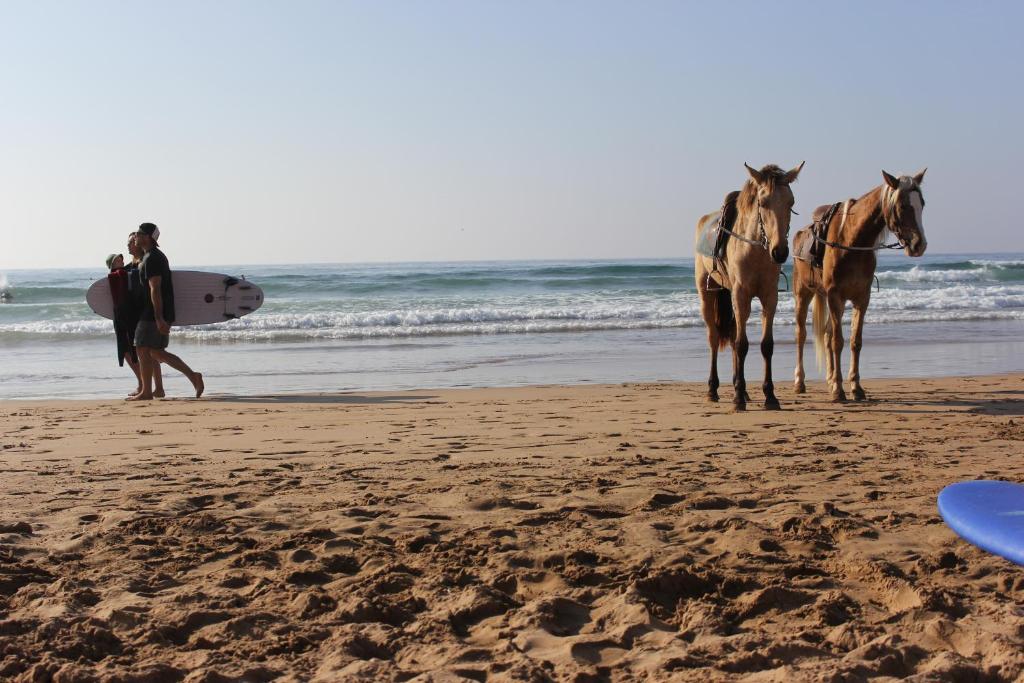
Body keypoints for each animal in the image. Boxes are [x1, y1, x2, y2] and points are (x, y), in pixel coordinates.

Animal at [696, 162, 806, 411]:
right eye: (763, 203)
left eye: (791, 202)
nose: (780, 251)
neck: (755, 250)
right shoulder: (741, 295)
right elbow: (741, 345)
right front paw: (737, 398)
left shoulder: (769, 297)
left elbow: (766, 345)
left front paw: (770, 396)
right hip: (707, 293)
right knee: (714, 338)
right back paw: (713, 389)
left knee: (733, 334)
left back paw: (744, 390)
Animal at [790, 168, 929, 401]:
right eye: (902, 205)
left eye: (923, 204)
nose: (920, 245)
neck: (852, 241)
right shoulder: (835, 296)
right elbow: (838, 342)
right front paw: (838, 390)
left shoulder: (861, 298)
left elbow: (855, 342)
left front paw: (855, 387)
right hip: (803, 294)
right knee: (801, 335)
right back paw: (799, 382)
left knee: (826, 335)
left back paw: (829, 379)